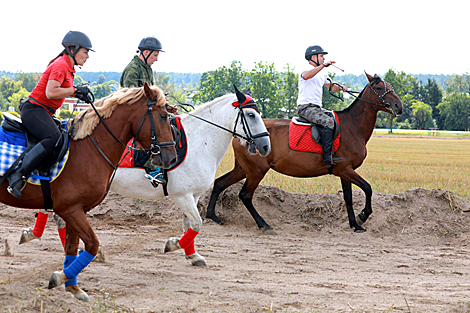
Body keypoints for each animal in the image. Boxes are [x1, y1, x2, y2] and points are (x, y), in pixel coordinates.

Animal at [0, 82, 177, 300]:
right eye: (163, 116)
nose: (172, 158)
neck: (90, 148)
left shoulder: (75, 211)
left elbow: (72, 248)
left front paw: (73, 288)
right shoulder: (70, 209)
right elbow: (92, 245)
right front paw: (59, 277)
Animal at [206, 72, 404, 232]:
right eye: (379, 87)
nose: (399, 106)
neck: (353, 126)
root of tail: (239, 134)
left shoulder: (345, 171)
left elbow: (348, 198)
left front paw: (355, 224)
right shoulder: (345, 169)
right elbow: (368, 188)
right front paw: (363, 216)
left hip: (243, 169)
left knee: (220, 183)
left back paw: (211, 215)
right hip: (256, 171)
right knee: (245, 195)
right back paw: (264, 224)